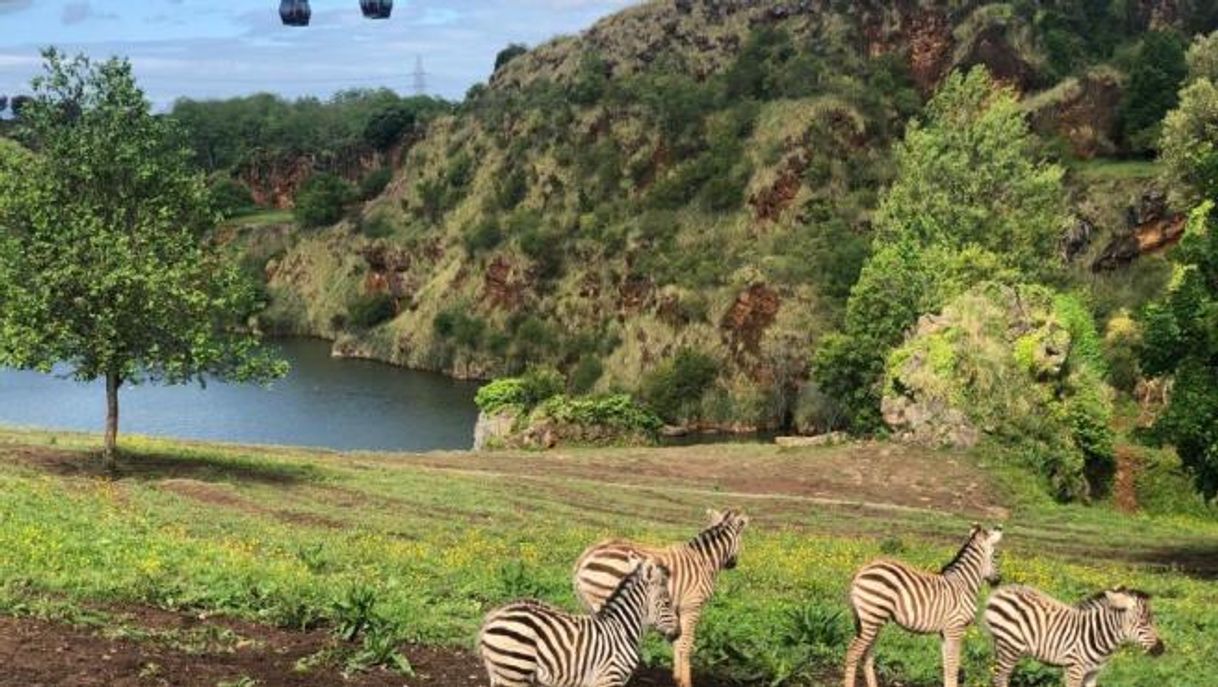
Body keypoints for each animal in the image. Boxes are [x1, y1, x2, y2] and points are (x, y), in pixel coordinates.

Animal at [477, 557, 686, 686]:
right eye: (667, 603)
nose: (678, 633)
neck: (623, 629)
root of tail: (495, 614)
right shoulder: (609, 677)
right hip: (515, 669)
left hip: (503, 671)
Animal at [572, 504, 750, 686]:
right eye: (741, 537)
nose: (733, 564)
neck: (703, 560)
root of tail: (585, 556)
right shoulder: (692, 606)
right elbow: (686, 643)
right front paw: (686, 682)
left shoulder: (675, 609)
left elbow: (677, 642)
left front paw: (677, 678)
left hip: (590, 604)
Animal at [842, 521, 1003, 686]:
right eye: (996, 556)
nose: (999, 580)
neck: (963, 584)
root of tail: (861, 571)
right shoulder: (955, 628)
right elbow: (953, 666)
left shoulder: (944, 631)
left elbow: (947, 666)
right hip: (872, 616)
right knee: (853, 652)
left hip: (872, 620)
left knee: (867, 655)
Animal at [984, 584, 1164, 686]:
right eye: (1143, 623)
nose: (1161, 650)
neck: (1097, 634)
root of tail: (1000, 591)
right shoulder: (1074, 669)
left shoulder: (1093, 673)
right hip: (1009, 646)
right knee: (1000, 678)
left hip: (1003, 646)